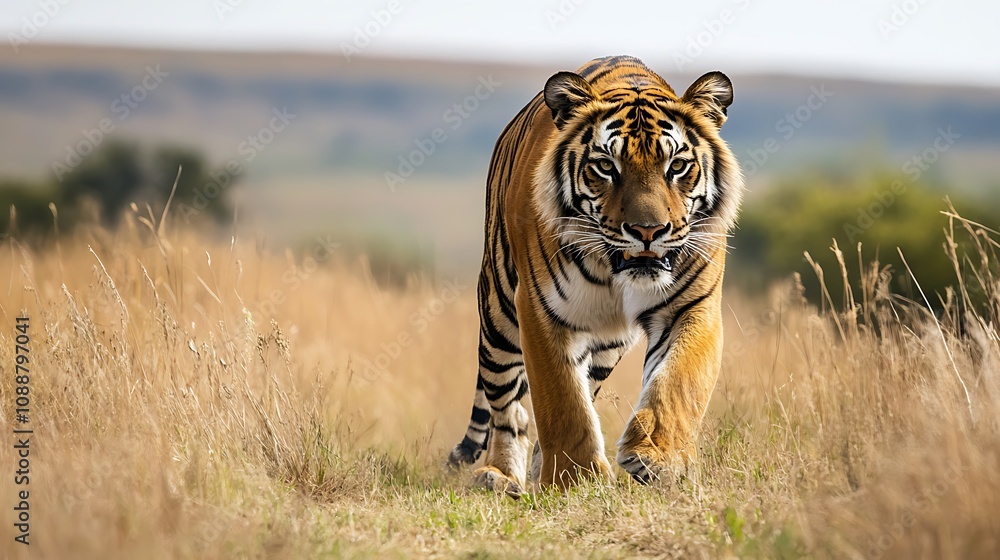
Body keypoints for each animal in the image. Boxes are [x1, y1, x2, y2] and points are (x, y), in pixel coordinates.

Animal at [448, 55, 743, 496]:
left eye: (676, 166)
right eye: (606, 166)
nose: (647, 231)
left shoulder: (693, 306)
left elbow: (678, 383)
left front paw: (658, 459)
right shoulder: (540, 309)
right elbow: (561, 401)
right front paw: (575, 478)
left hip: (608, 345)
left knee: (584, 385)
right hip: (499, 315)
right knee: (508, 409)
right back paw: (500, 474)